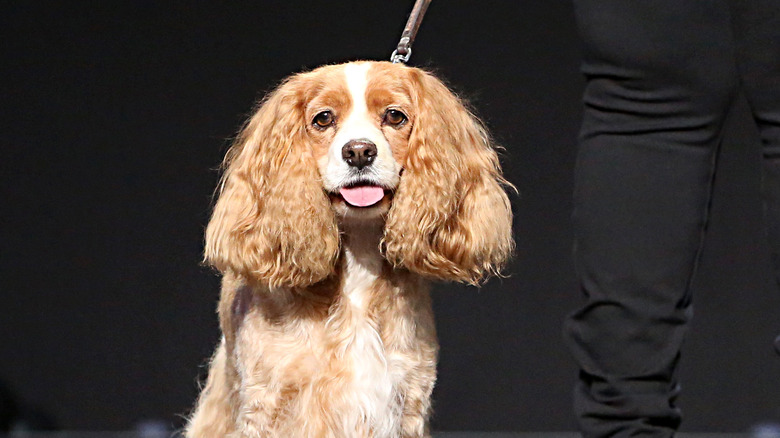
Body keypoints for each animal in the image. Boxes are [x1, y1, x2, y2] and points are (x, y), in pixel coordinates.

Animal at [186, 60, 516, 438]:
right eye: (323, 119)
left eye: (395, 116)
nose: (359, 151)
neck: (358, 260)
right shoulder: (267, 404)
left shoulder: (406, 398)